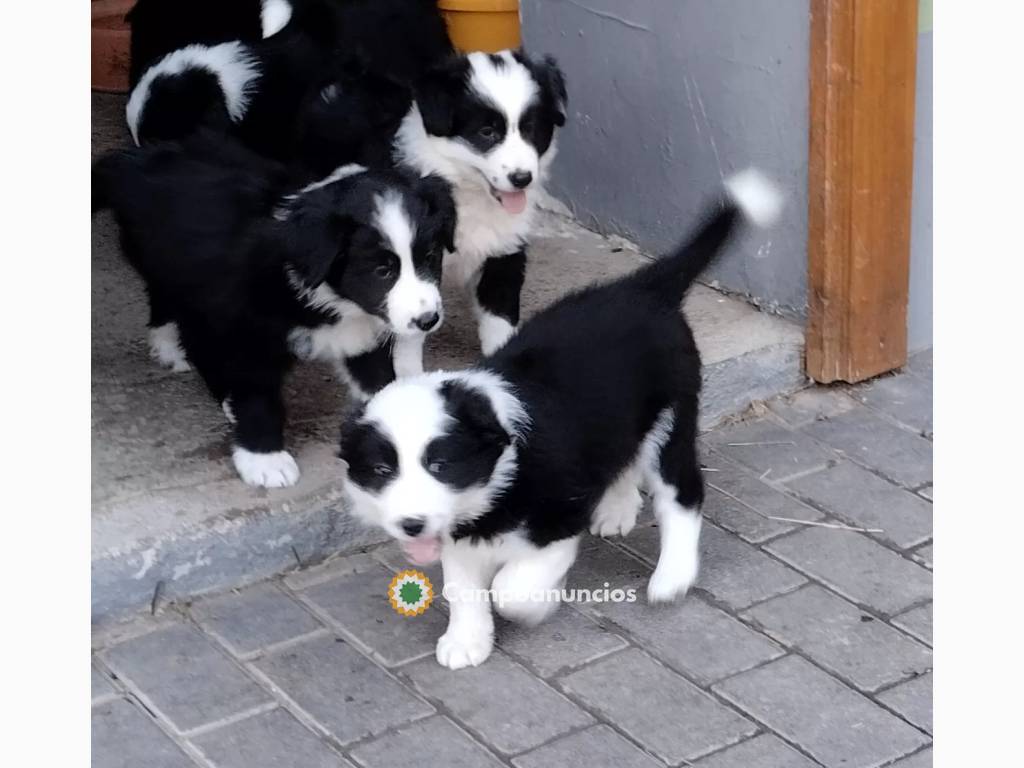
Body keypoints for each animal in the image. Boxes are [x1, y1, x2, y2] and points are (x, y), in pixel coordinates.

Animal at [93, 134, 456, 487]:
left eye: (430, 256)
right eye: (382, 270)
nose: (428, 321)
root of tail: (134, 158)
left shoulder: (362, 335)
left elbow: (379, 380)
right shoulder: (250, 332)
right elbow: (258, 397)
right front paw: (264, 459)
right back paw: (175, 353)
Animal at [339, 167, 778, 667]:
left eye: (440, 465)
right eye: (380, 470)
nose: (410, 525)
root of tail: (644, 288)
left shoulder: (560, 519)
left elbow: (510, 587)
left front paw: (539, 604)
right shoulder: (457, 531)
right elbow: (463, 586)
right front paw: (467, 641)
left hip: (670, 418)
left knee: (681, 494)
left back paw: (673, 577)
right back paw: (618, 509)